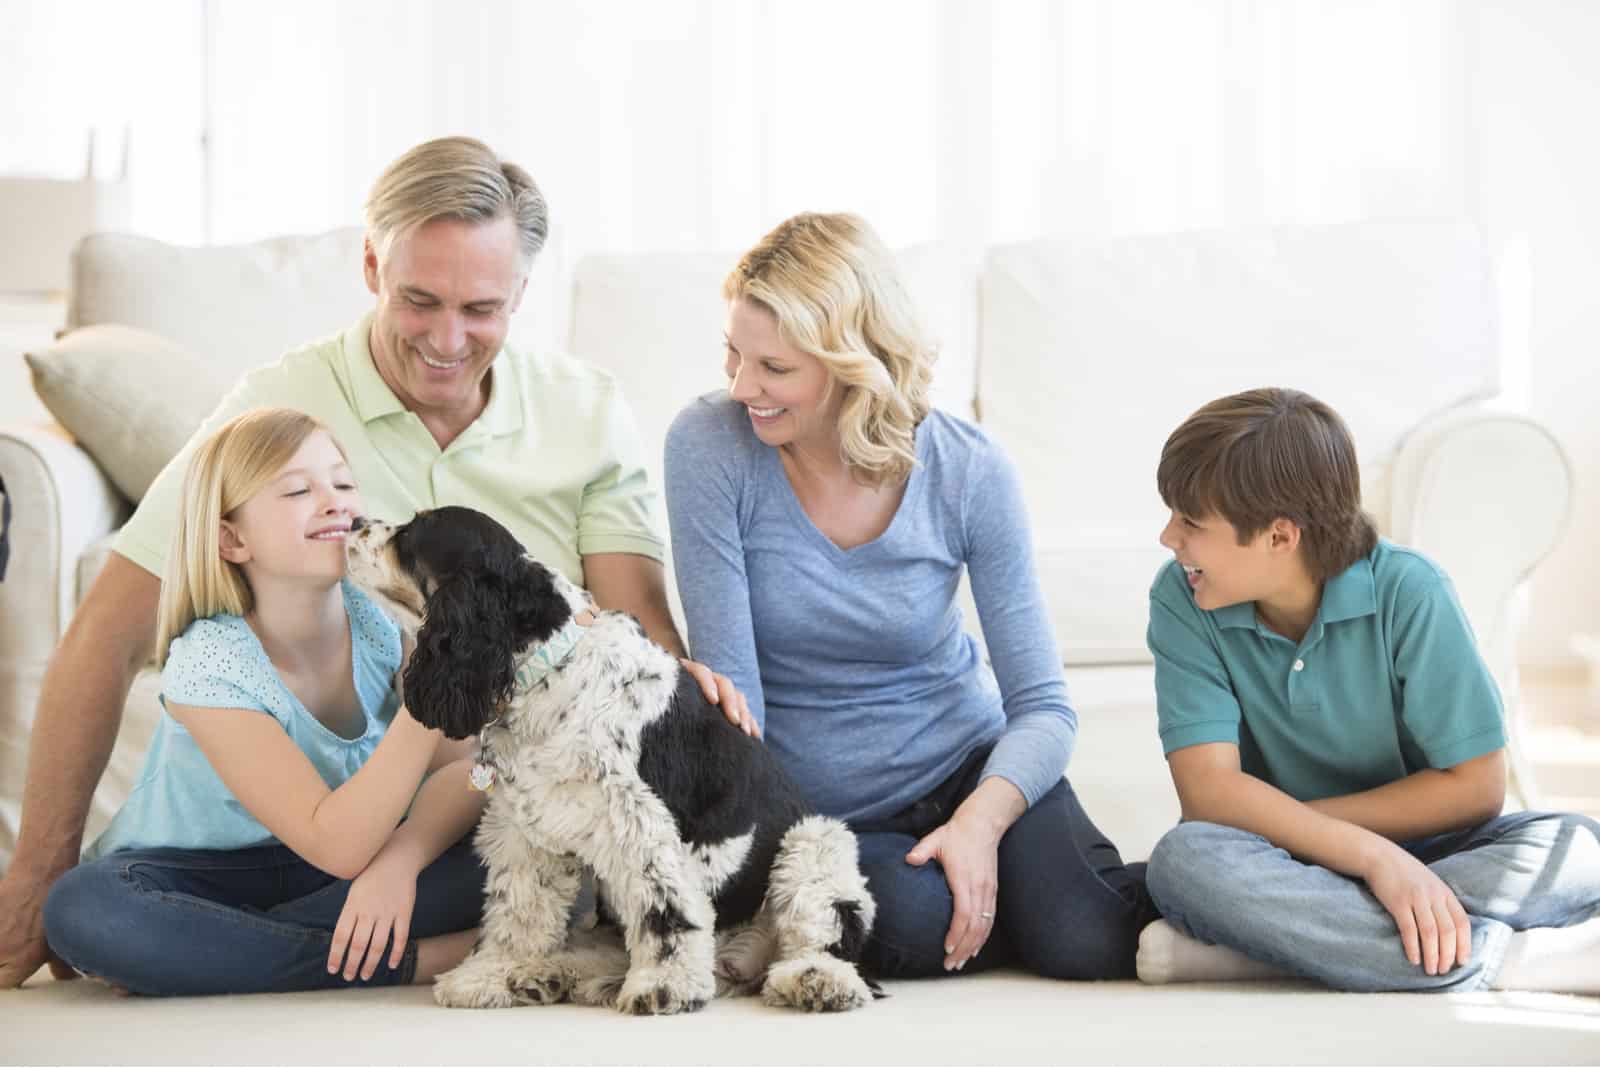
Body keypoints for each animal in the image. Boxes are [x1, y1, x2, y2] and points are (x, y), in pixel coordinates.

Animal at [342, 505, 883, 1016]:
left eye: (413, 532)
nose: (353, 521)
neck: (549, 667)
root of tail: (738, 956)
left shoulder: (639, 823)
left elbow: (665, 914)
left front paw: (664, 988)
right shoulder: (526, 831)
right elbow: (519, 910)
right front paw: (491, 974)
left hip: (812, 847)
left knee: (820, 940)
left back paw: (815, 982)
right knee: (603, 951)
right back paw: (547, 976)